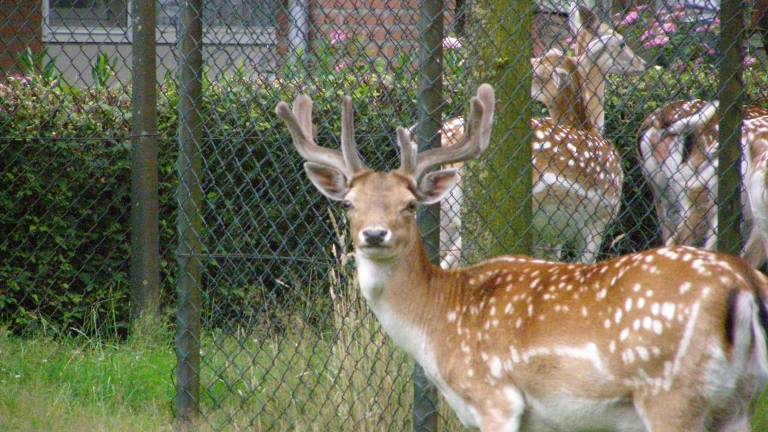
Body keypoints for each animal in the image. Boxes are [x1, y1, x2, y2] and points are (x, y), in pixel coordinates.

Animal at [278, 84, 768, 432]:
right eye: (349, 203)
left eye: (410, 204)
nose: (374, 234)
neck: (437, 322)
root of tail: (744, 286)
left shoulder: (496, 396)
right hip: (736, 403)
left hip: (671, 395)